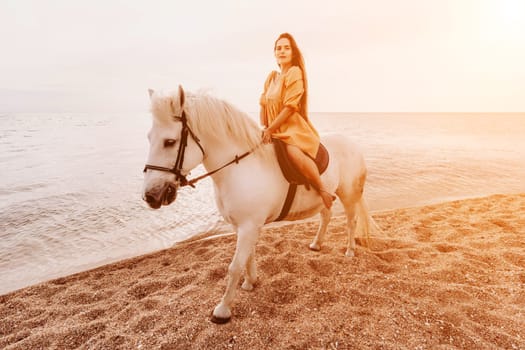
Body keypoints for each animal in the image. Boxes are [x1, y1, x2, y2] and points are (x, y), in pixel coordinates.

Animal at [142, 86, 372, 324]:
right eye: (149, 137)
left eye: (169, 142)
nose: (151, 195)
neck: (239, 167)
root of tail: (352, 144)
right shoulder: (242, 226)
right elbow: (248, 257)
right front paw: (250, 283)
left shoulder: (249, 226)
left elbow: (234, 266)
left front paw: (222, 310)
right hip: (325, 198)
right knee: (326, 216)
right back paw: (316, 244)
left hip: (348, 194)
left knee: (351, 221)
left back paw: (350, 251)